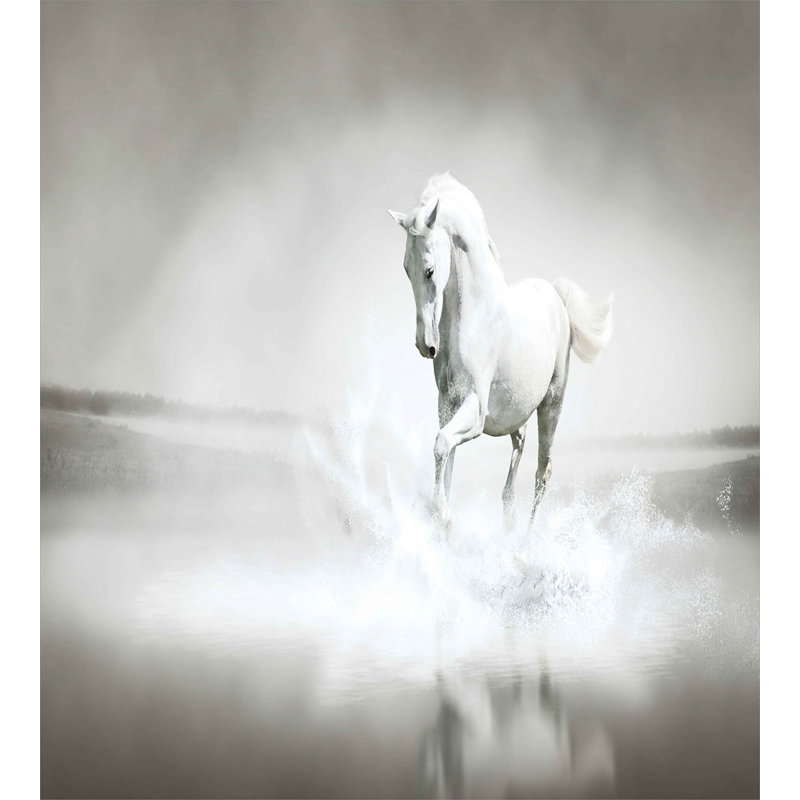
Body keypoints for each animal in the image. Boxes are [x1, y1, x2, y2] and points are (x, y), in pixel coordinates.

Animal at [388, 173, 612, 530]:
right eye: (405, 269)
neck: (474, 318)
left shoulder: (475, 410)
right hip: (516, 412)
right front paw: (442, 518)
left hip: (552, 405)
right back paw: (507, 522)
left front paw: (443, 515)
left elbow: (440, 444)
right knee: (518, 451)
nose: (426, 346)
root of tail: (554, 292)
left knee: (542, 472)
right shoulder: (447, 405)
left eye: (429, 270)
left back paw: (525, 540)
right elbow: (445, 456)